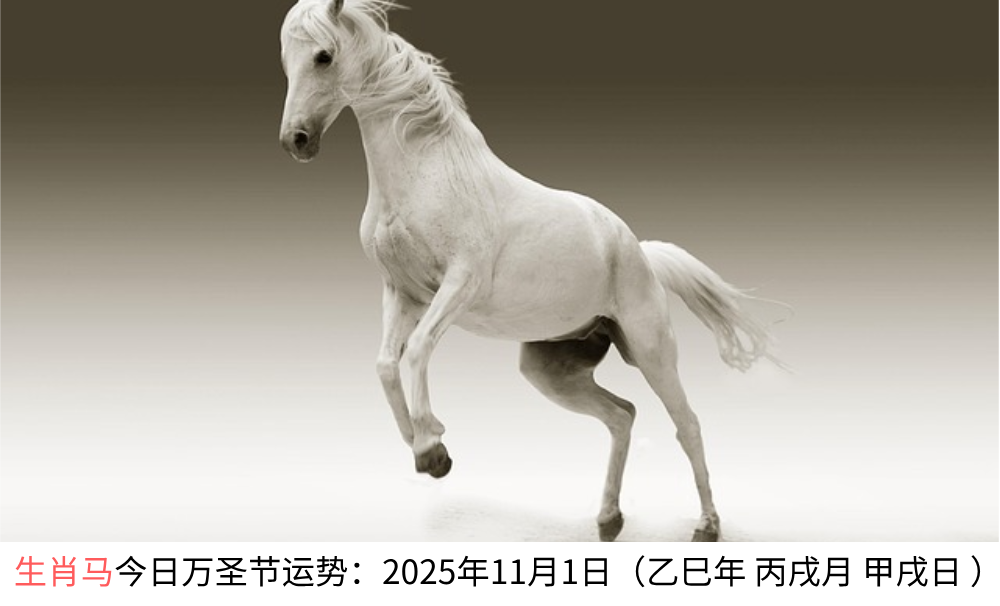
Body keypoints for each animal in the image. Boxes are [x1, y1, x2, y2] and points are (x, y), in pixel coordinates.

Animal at [278, 0, 780, 542]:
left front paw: (432, 450)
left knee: (686, 423)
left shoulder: (459, 284)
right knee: (621, 415)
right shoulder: (402, 292)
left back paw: (707, 524)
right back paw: (609, 518)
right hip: (551, 369)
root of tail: (639, 252)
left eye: (324, 56)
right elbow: (386, 364)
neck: (427, 172)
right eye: (286, 62)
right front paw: (424, 445)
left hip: (650, 350)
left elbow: (417, 351)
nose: (296, 140)